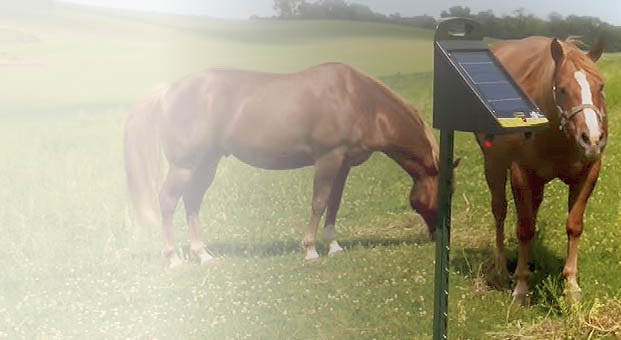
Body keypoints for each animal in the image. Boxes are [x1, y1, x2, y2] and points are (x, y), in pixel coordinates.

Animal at [123, 62, 438, 266]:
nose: (435, 236)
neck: (357, 100)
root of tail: (168, 90)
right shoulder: (328, 159)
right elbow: (319, 202)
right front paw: (310, 250)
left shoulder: (344, 164)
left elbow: (334, 204)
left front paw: (333, 246)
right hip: (184, 166)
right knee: (167, 201)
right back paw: (174, 258)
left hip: (206, 164)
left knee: (192, 202)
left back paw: (202, 254)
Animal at [480, 37, 604, 302]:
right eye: (563, 89)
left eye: (600, 87)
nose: (592, 139)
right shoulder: (520, 171)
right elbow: (524, 228)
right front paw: (521, 286)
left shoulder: (589, 173)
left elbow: (574, 226)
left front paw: (571, 286)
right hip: (494, 164)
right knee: (500, 212)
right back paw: (501, 269)